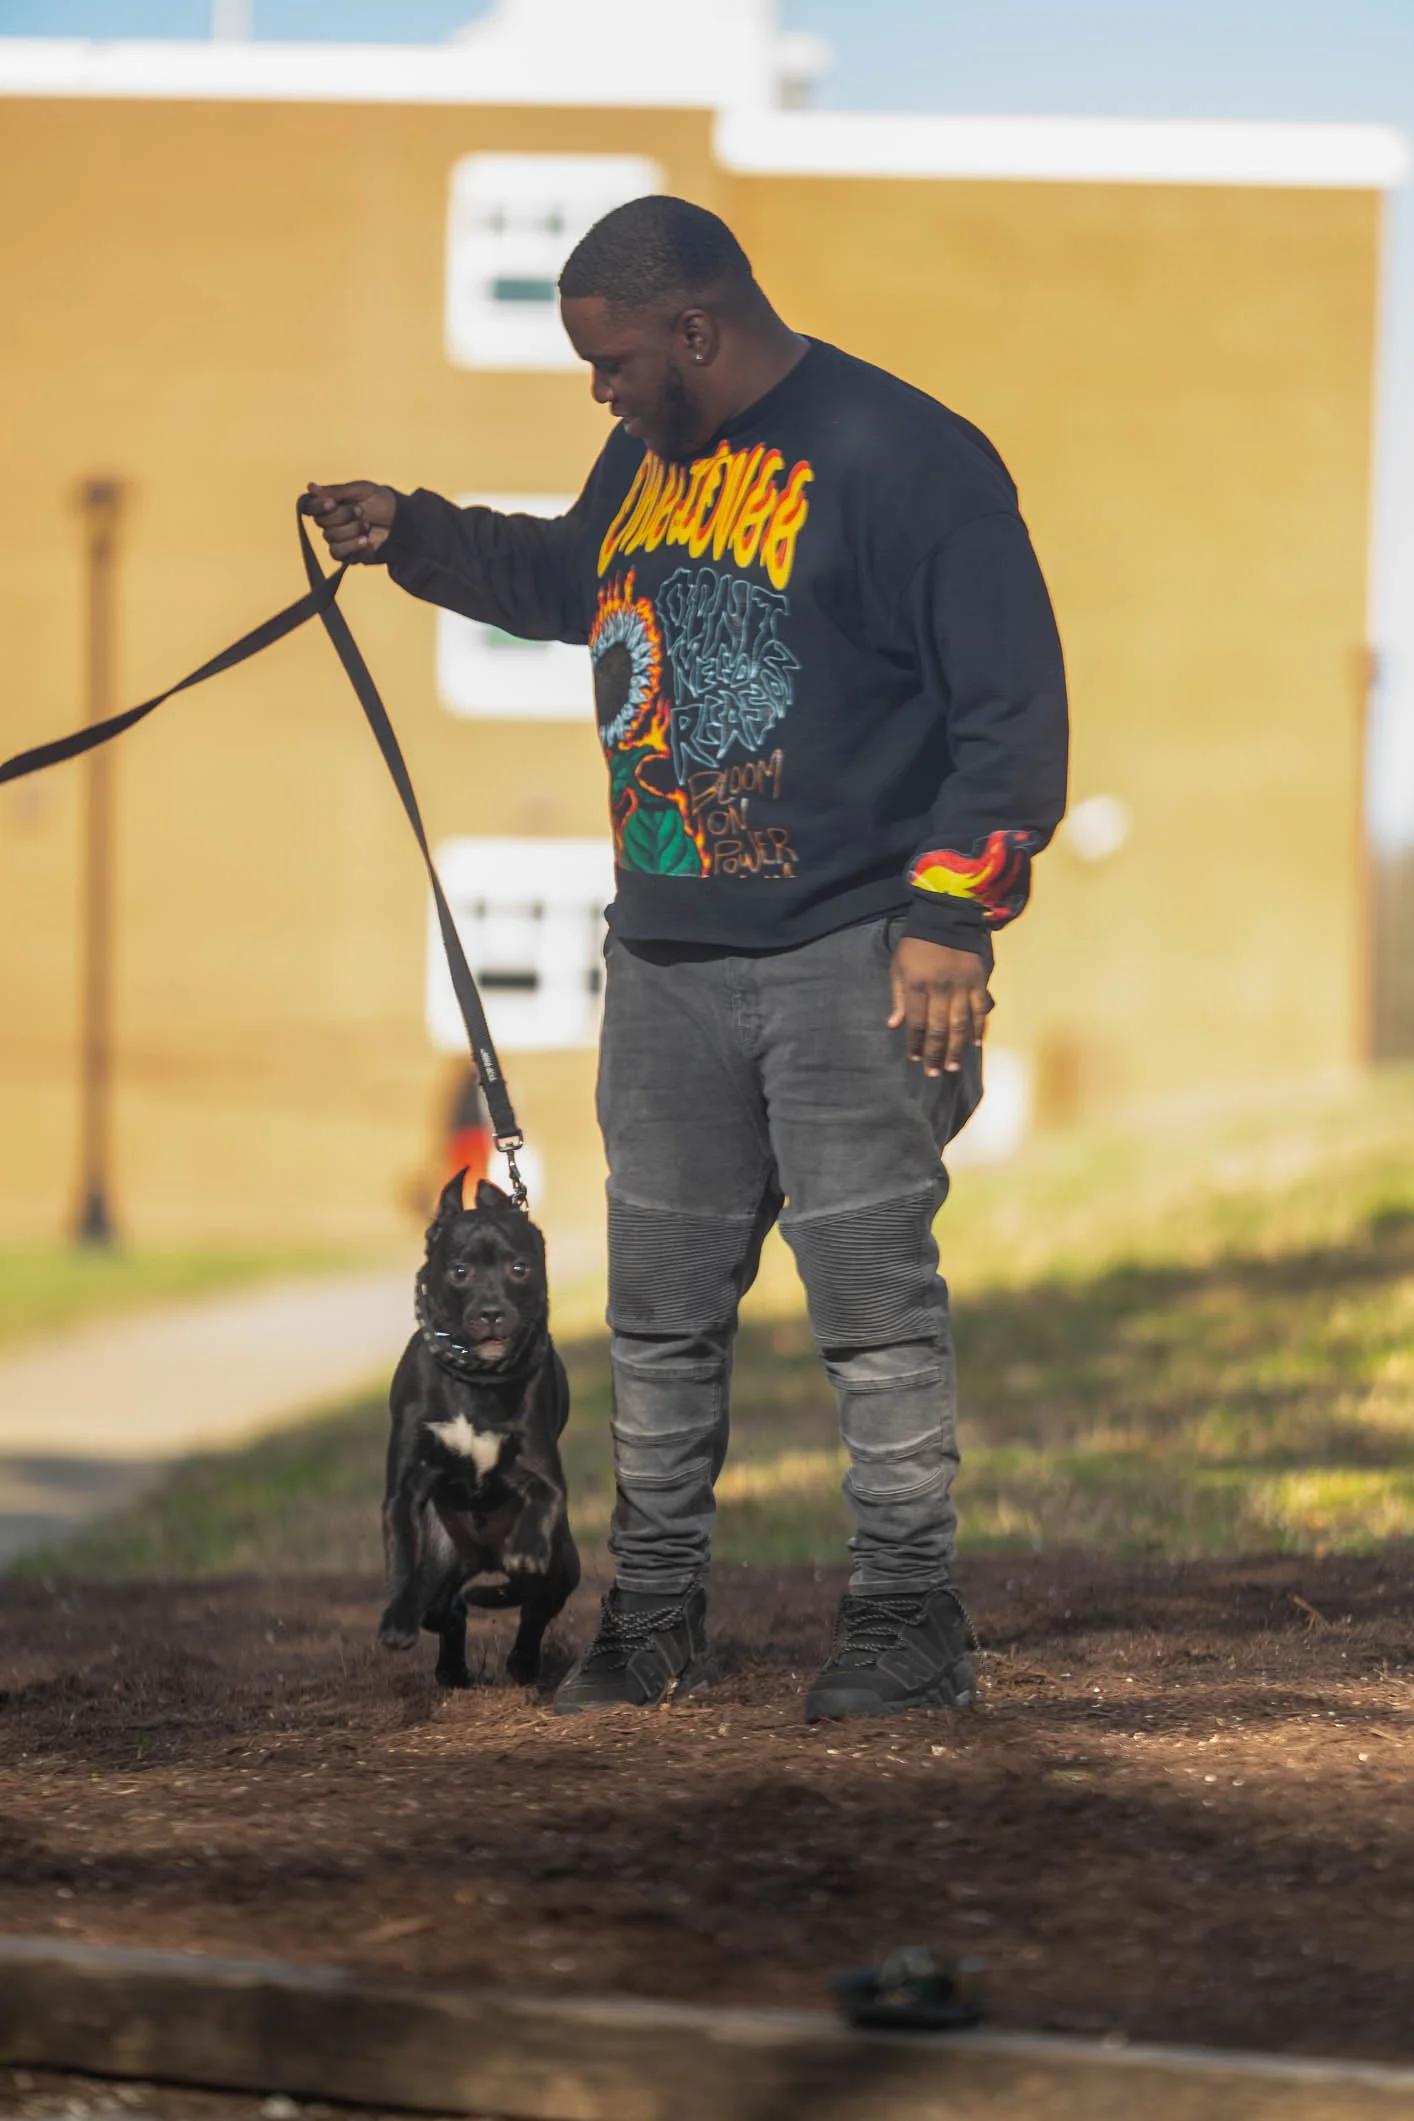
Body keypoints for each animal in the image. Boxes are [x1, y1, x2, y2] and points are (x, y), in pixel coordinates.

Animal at [378, 1171, 580, 1687]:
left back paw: (522, 1662)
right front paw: (396, 1621)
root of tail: (482, 1557)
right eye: (459, 1271)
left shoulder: (543, 1469)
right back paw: (450, 1667)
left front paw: (525, 1546)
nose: (491, 1312)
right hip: (442, 1560)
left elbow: (545, 1495)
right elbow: (401, 1557)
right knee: (448, 1612)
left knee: (535, 1608)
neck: (476, 1382)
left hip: (563, 1566)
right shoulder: (404, 1489)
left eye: (520, 1268)